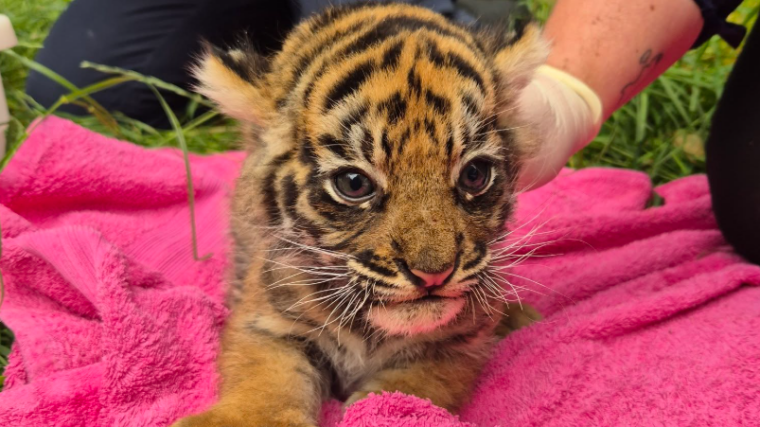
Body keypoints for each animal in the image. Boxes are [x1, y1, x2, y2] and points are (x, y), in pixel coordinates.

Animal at [171, 3, 547, 426]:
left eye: (474, 174)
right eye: (353, 183)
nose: (433, 275)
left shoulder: (456, 345)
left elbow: (412, 387)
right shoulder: (268, 321)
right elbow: (266, 380)